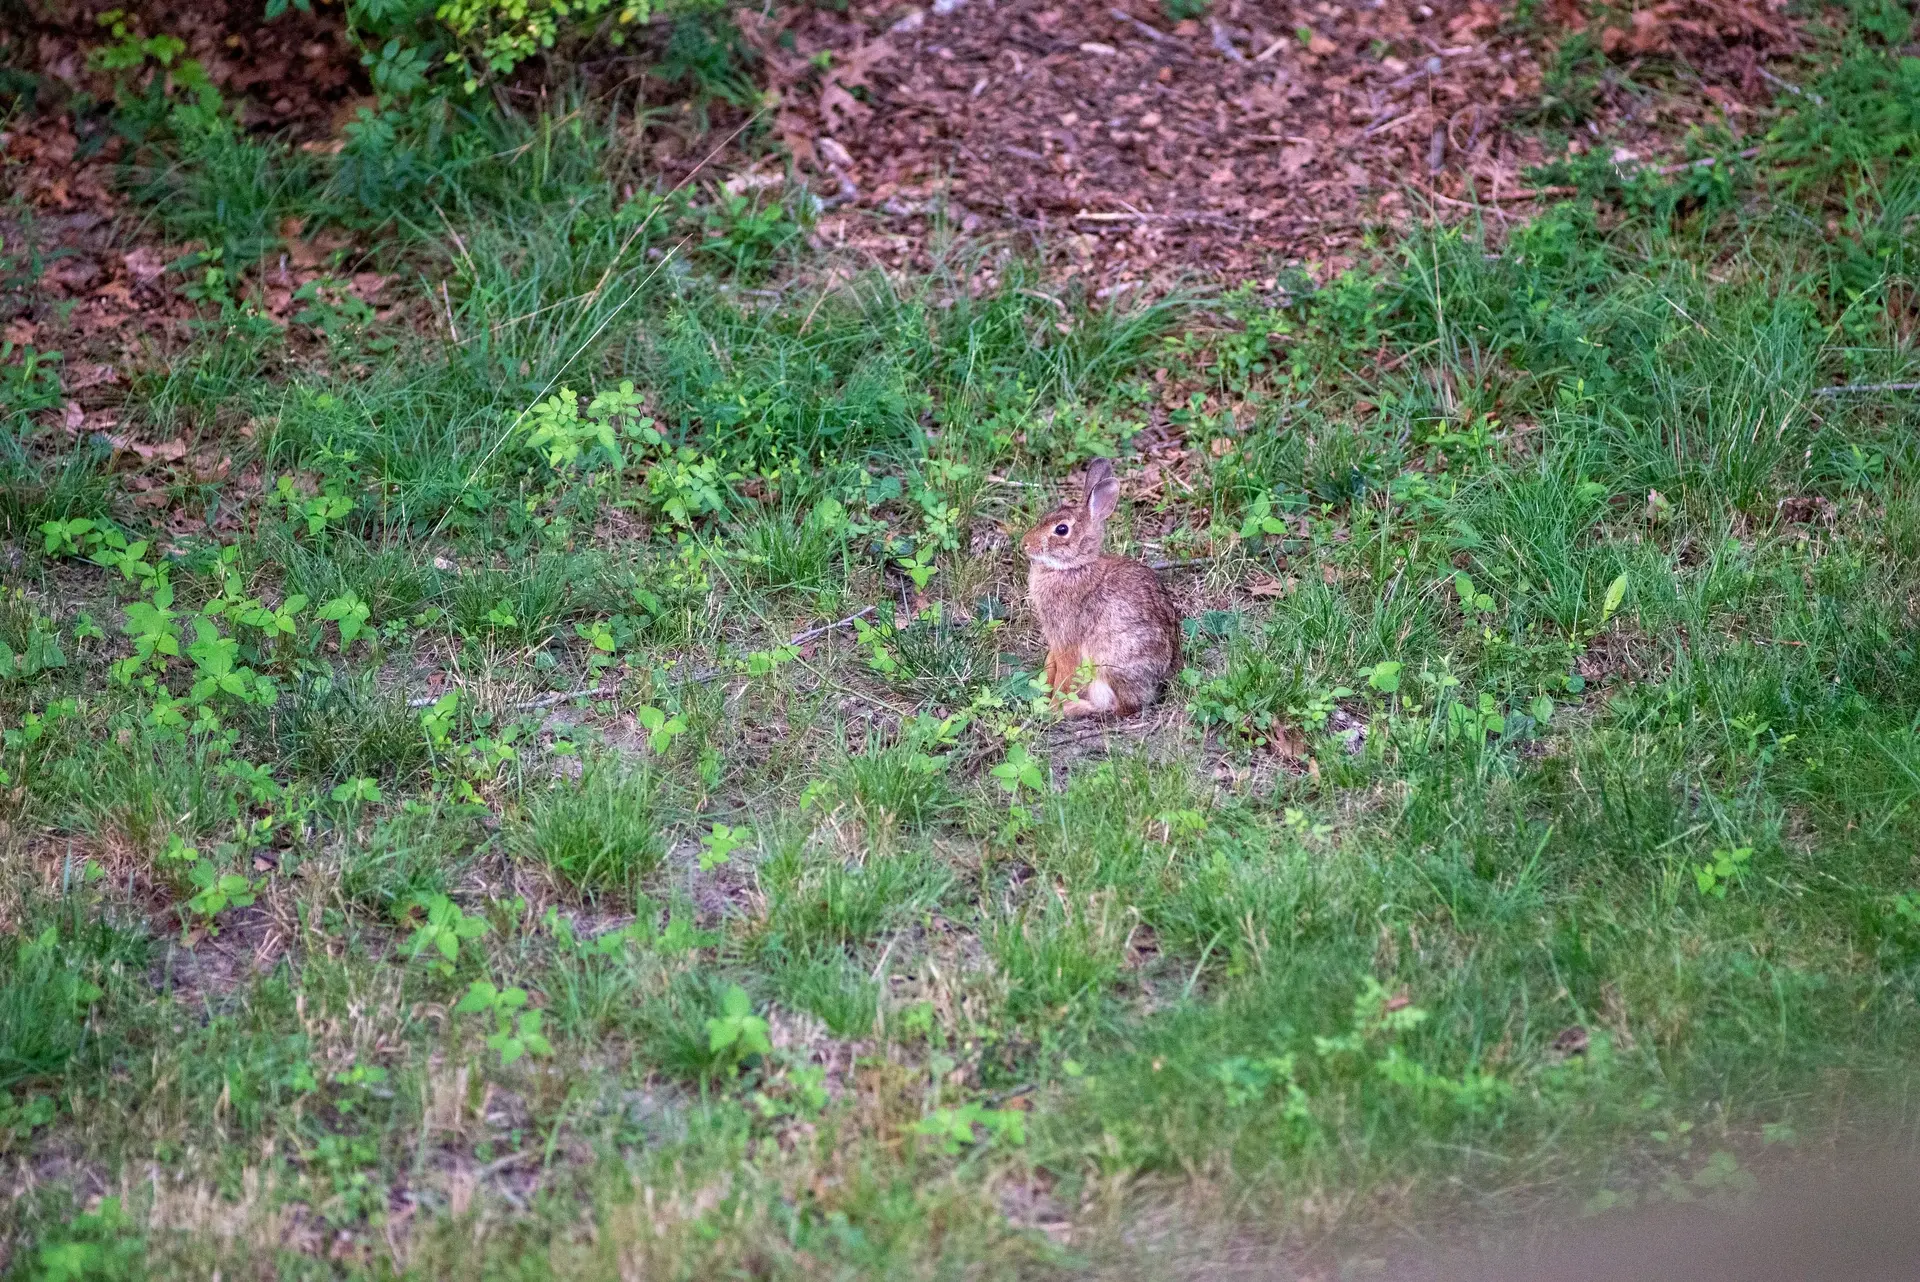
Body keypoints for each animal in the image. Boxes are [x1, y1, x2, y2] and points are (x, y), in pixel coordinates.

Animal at [1022, 457, 1181, 718]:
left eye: (1061, 529)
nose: (1024, 544)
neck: (1074, 567)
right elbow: (1051, 666)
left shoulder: (1067, 640)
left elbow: (1064, 676)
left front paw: (1053, 708)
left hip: (1111, 664)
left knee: (1123, 707)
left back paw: (1076, 708)